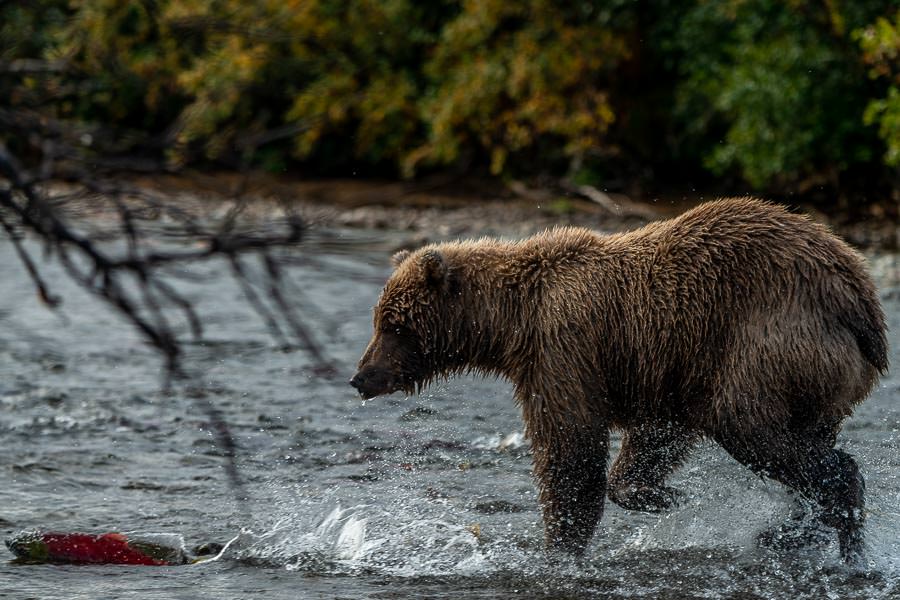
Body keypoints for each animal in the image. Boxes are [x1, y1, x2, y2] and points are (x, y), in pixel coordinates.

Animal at [350, 198, 884, 564]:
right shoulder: (668, 372)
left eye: (395, 325)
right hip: (819, 382)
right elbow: (654, 440)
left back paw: (840, 526)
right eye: (380, 319)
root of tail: (859, 296)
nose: (361, 377)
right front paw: (658, 494)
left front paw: (562, 544)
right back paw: (793, 532)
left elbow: (571, 452)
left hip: (768, 342)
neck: (513, 321)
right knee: (802, 441)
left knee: (751, 427)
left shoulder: (566, 351)